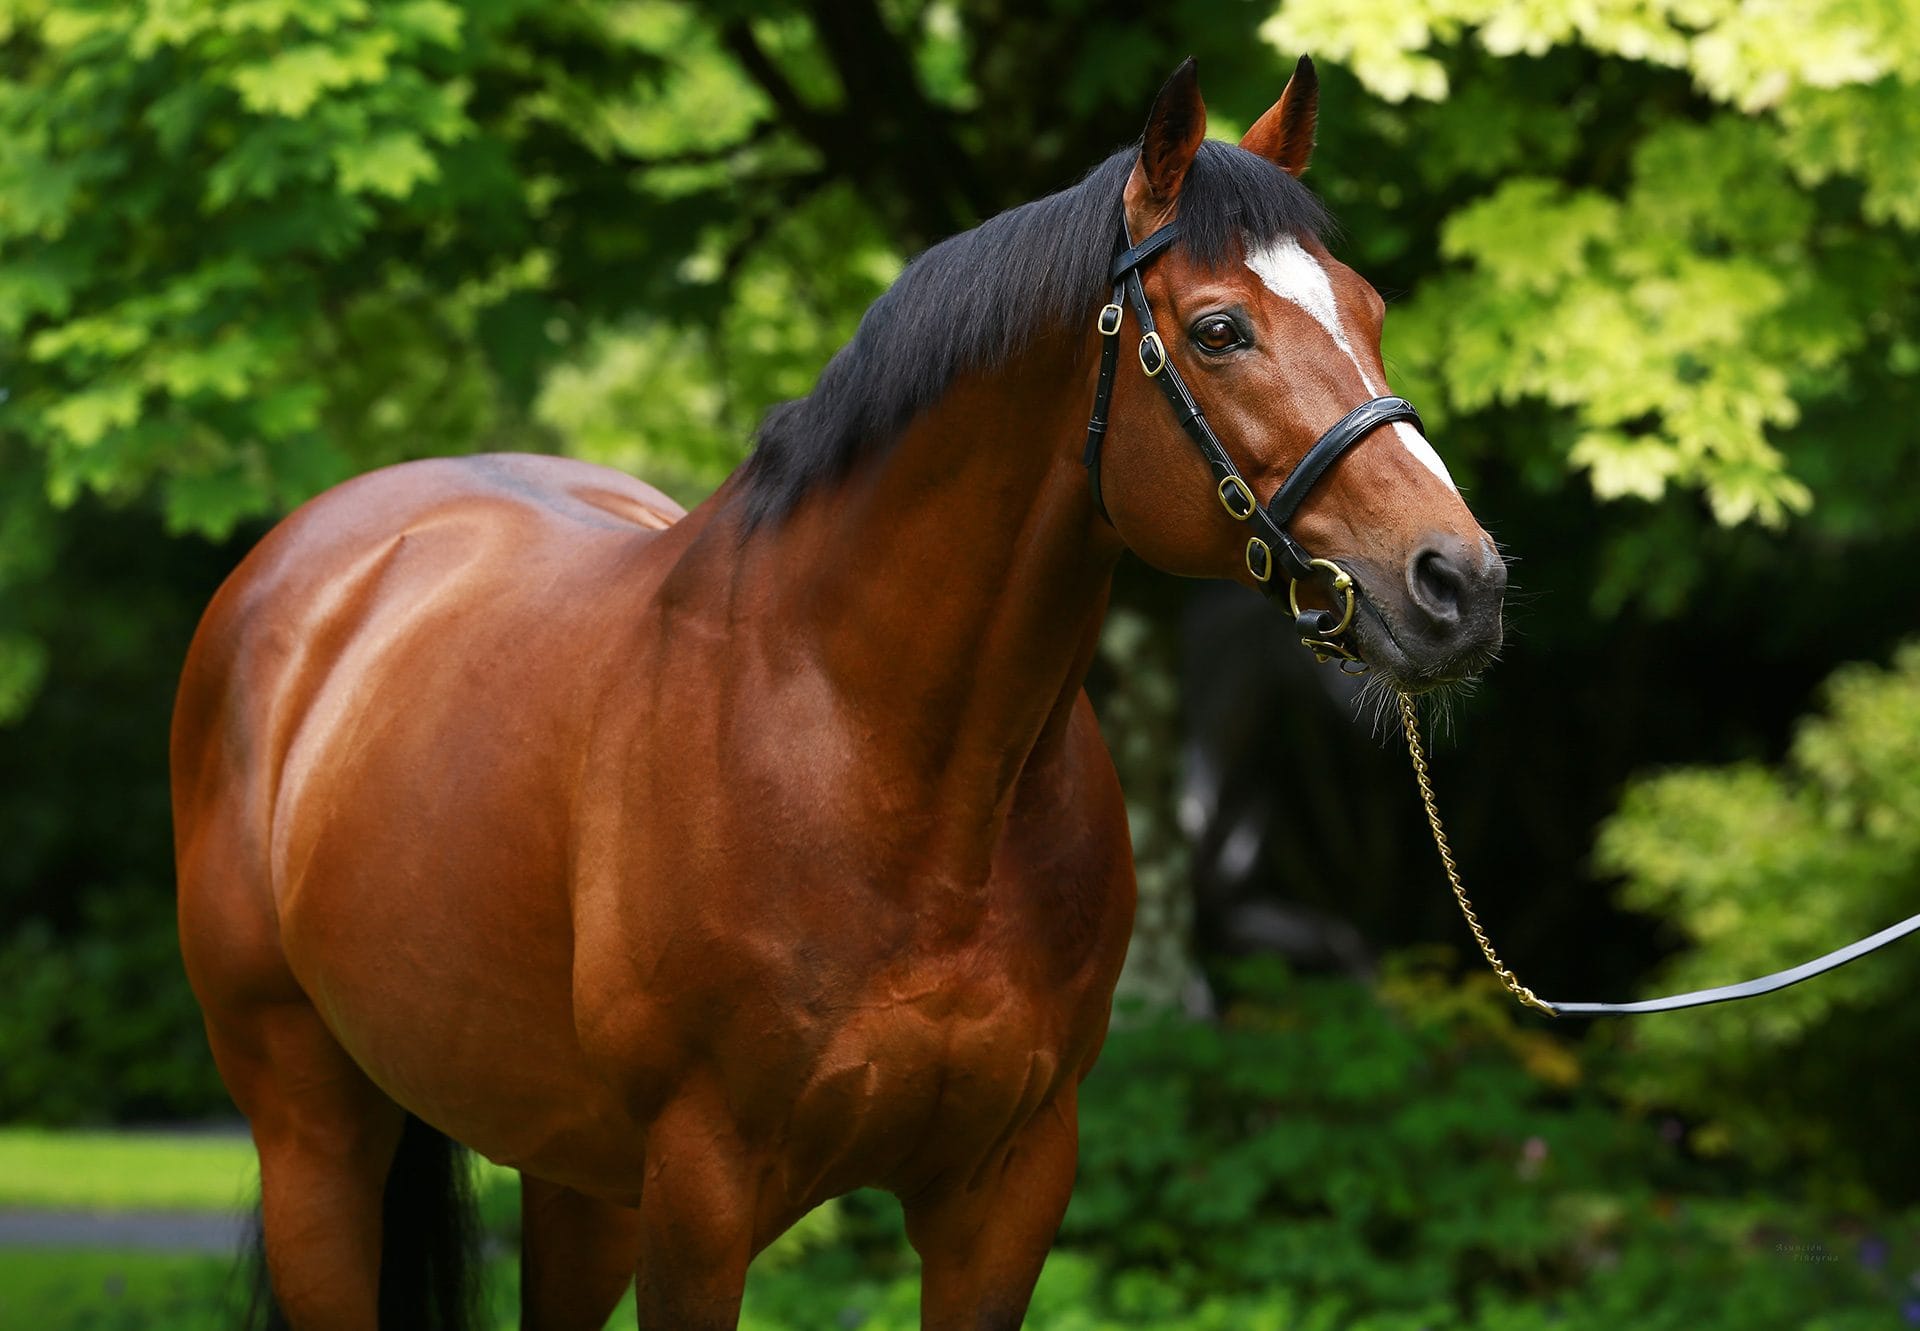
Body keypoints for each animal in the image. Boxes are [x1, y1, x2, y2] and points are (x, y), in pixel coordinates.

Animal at [172, 57, 1497, 1321]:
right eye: (1221, 330)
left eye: (1371, 310)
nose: (1460, 582)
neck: (887, 758)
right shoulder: (700, 1197)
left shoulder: (1005, 1191)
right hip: (315, 1133)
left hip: (570, 1171)